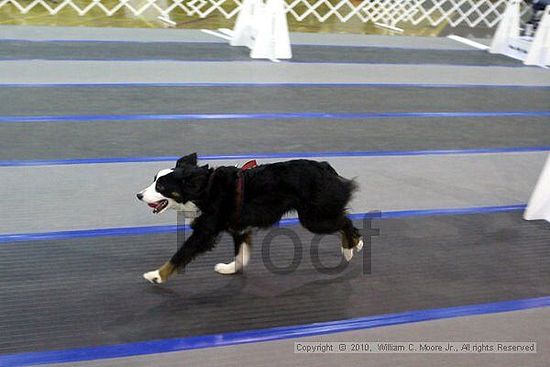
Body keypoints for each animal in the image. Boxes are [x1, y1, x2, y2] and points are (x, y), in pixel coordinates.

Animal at [136, 152, 364, 284]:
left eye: (161, 187)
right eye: (154, 180)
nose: (138, 195)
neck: (204, 190)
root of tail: (325, 167)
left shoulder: (205, 232)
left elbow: (181, 254)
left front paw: (156, 275)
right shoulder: (239, 227)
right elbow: (241, 254)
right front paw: (230, 269)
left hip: (313, 218)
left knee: (345, 222)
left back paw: (350, 248)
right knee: (343, 218)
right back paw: (354, 245)